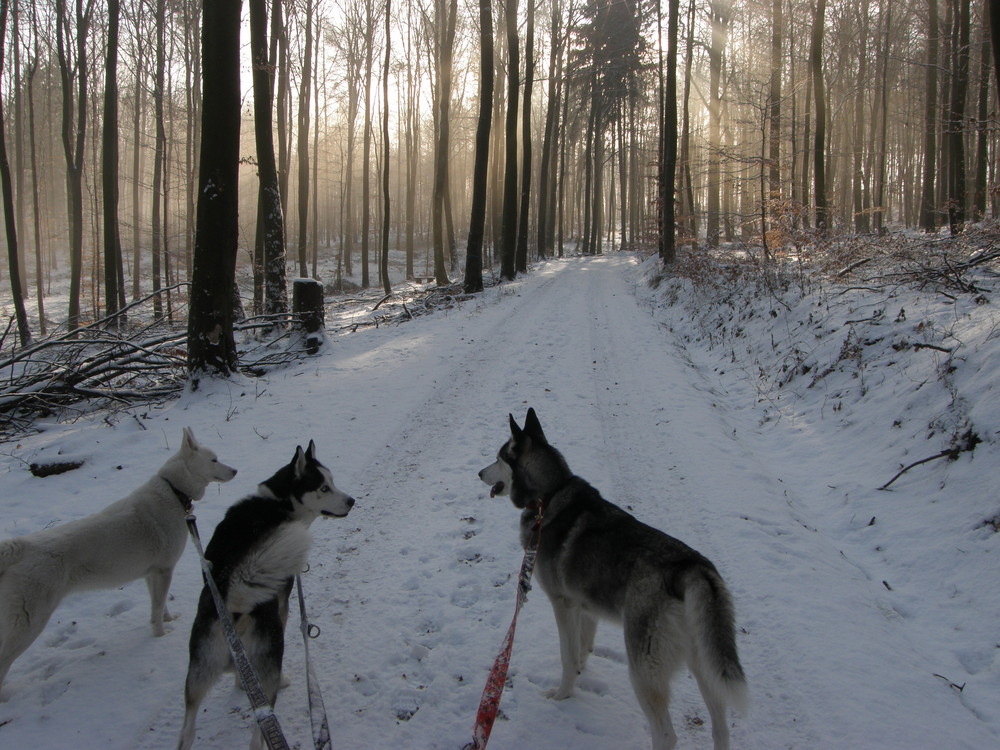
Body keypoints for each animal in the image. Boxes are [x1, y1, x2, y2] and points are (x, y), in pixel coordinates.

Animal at [0, 428, 236, 692]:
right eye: (214, 460)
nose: (235, 471)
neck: (174, 491)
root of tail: (21, 547)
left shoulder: (152, 573)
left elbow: (159, 605)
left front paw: (167, 620)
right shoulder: (165, 570)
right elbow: (157, 607)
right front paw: (161, 636)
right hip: (29, 625)